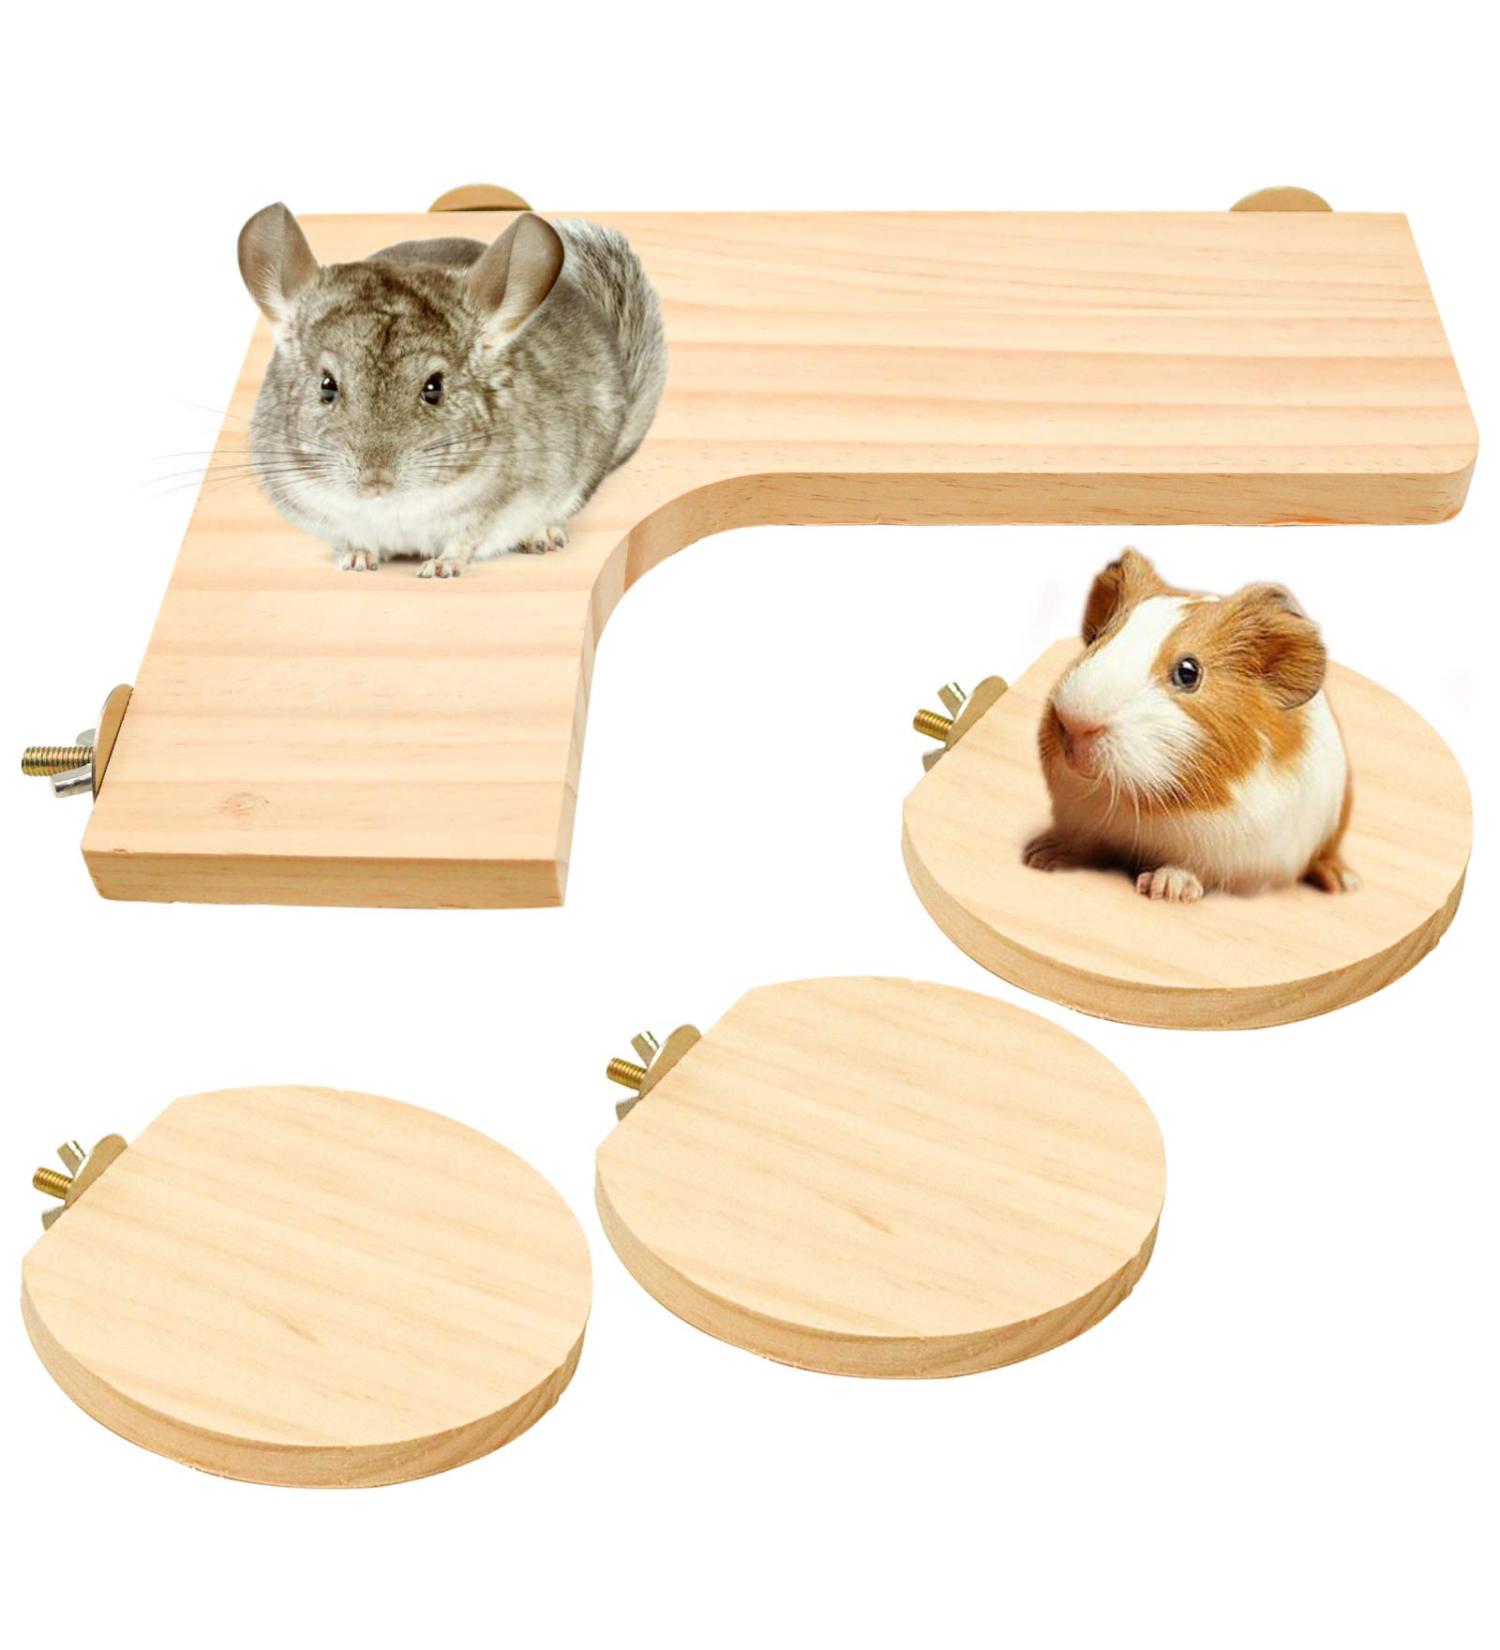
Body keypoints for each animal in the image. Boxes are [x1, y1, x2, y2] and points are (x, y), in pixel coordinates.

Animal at [236, 203, 667, 576]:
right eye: (327, 385)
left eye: (434, 387)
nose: (377, 479)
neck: (390, 507)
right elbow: (353, 539)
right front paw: (356, 559)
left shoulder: (498, 505)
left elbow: (466, 540)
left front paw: (441, 568)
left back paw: (541, 535)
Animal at [1024, 549, 1358, 902]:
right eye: (1099, 638)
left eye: (1188, 672)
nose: (1074, 724)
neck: (1138, 805)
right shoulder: (1084, 825)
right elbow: (1080, 844)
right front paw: (1039, 856)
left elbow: (1188, 867)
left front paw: (1165, 889)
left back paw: (1344, 883)